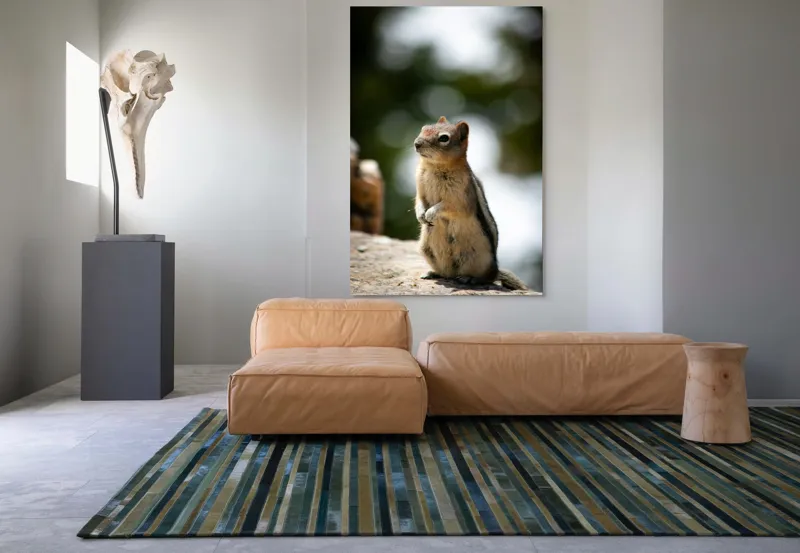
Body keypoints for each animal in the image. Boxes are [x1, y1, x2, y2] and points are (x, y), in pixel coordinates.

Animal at [413, 116, 528, 291]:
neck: (435, 167)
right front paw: (421, 215)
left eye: (444, 138)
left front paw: (431, 213)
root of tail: (495, 270)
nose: (416, 143)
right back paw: (432, 273)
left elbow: (450, 206)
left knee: (486, 278)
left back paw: (469, 278)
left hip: (478, 260)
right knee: (446, 273)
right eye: (423, 128)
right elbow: (419, 201)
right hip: (426, 250)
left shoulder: (460, 198)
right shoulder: (420, 189)